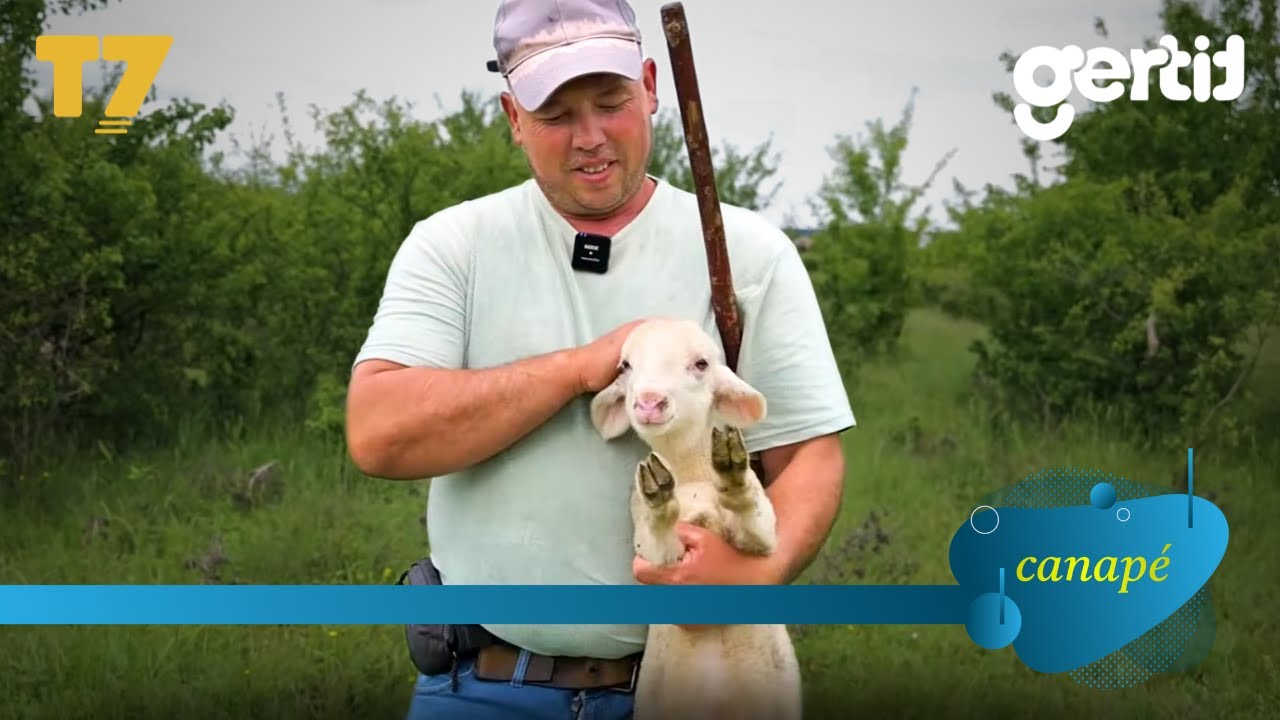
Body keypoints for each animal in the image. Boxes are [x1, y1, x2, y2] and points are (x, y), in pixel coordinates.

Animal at [586, 316, 798, 717]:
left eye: (701, 364)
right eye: (626, 366)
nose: (649, 402)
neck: (691, 478)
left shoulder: (763, 539)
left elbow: (757, 522)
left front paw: (734, 476)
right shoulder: (650, 551)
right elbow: (658, 542)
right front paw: (658, 498)